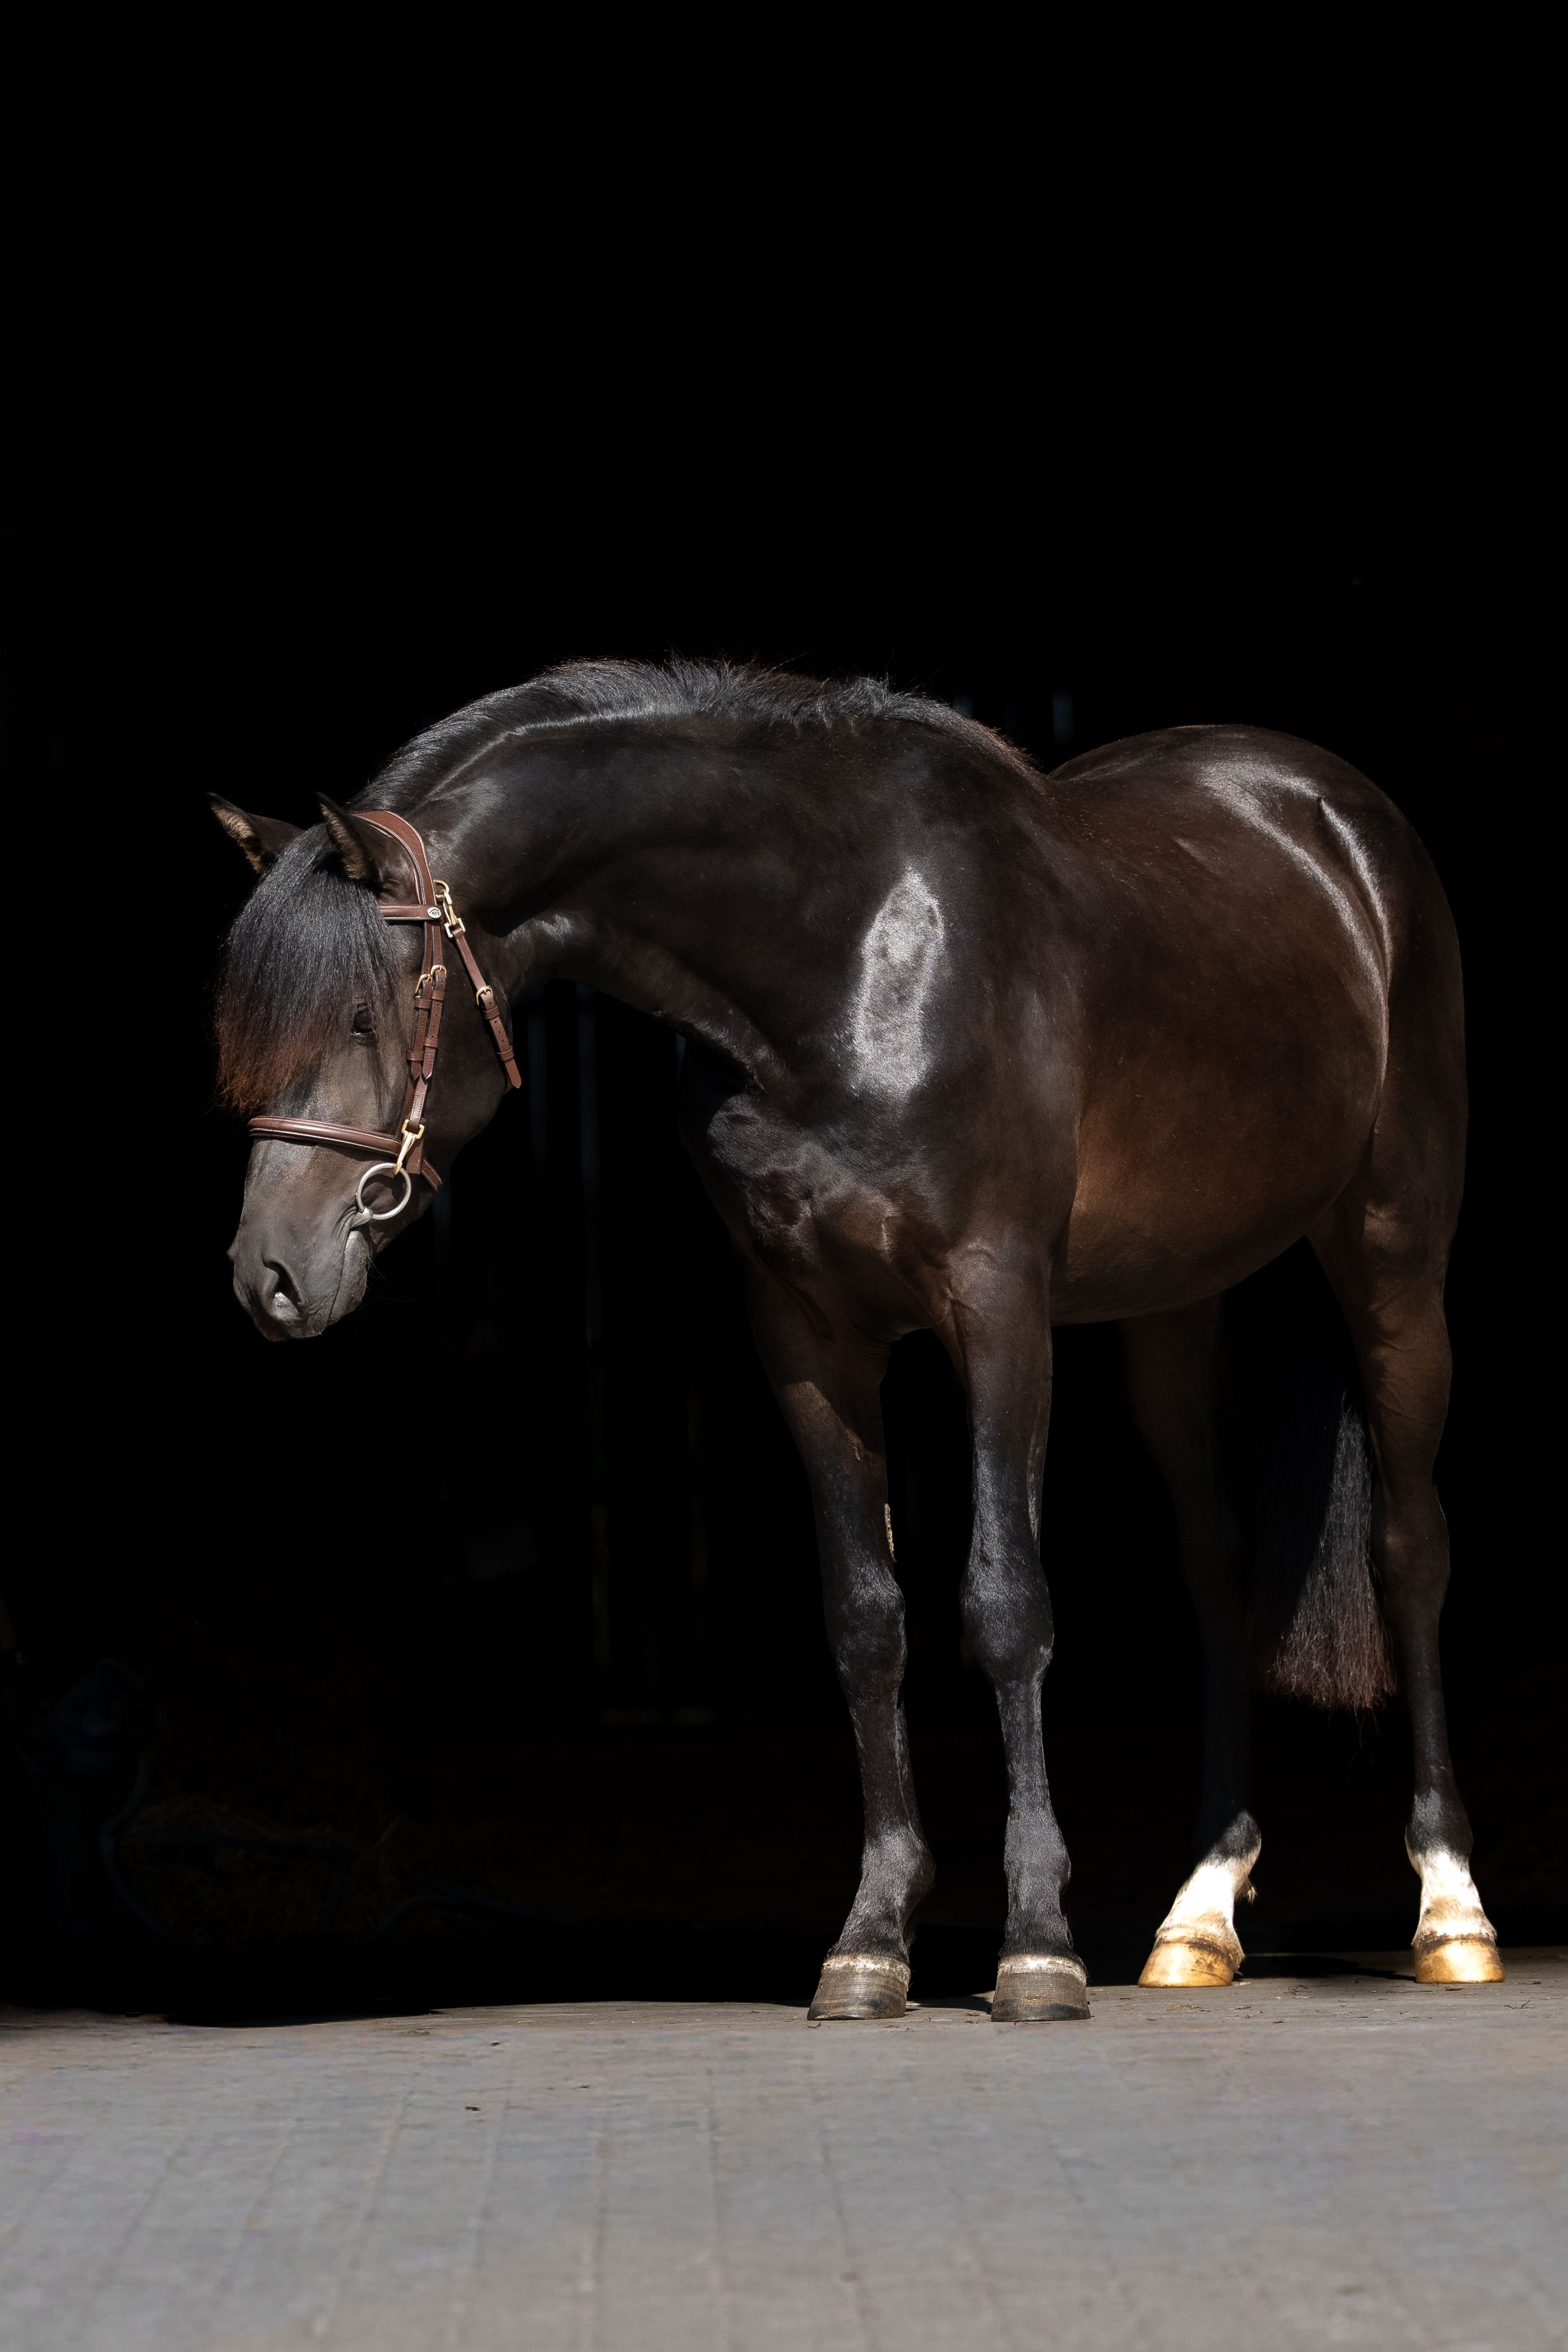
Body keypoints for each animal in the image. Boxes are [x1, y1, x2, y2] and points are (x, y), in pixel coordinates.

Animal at [212, 659, 1502, 2018]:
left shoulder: (997, 1303)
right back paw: (1198, 1912)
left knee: (1411, 1544)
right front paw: (872, 1939)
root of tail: (1329, 806)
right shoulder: (806, 1333)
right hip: (1171, 1309)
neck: (838, 958)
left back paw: (1450, 1907)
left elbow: (1005, 1603)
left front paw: (1036, 1947)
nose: (270, 1273)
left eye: (365, 1016)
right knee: (1216, 1566)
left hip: (1392, 1259)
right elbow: (865, 1620)